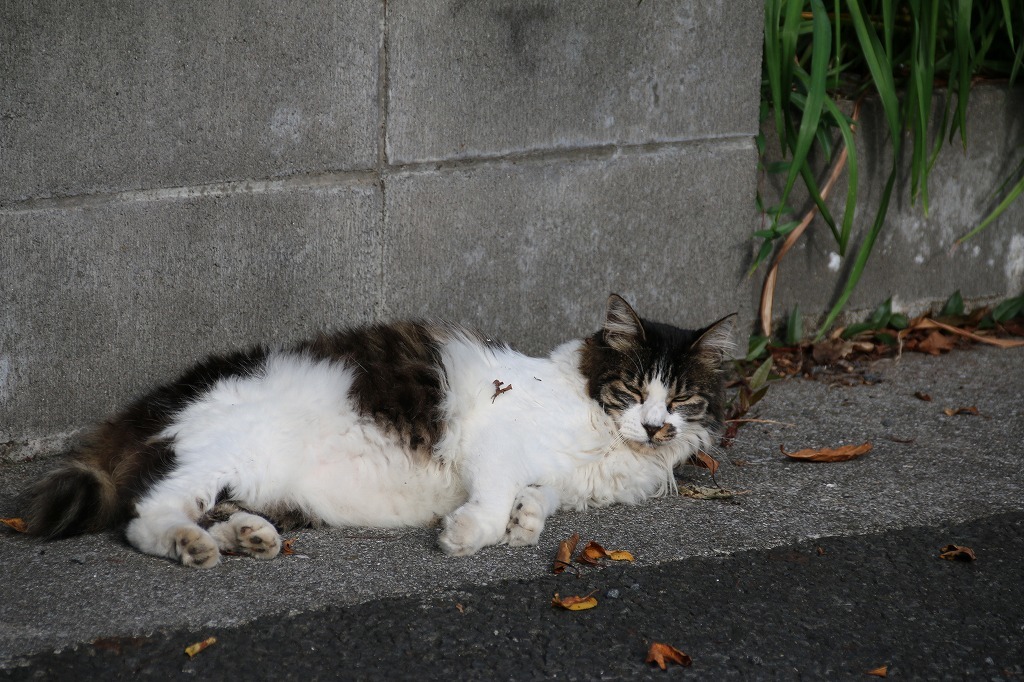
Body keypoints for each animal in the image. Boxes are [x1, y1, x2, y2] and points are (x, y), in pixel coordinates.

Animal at [24, 294, 737, 565]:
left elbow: (540, 497)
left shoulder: (561, 478)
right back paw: (191, 546)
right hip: (231, 451)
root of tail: (167, 392)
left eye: (680, 398)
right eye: (633, 391)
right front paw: (470, 534)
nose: (656, 427)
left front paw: (525, 525)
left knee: (210, 510)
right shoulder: (495, 440)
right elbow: (498, 492)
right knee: (147, 515)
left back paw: (248, 537)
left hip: (256, 481)